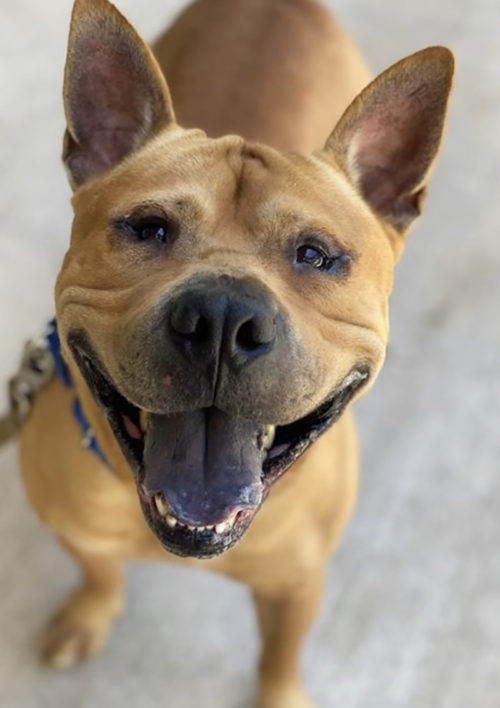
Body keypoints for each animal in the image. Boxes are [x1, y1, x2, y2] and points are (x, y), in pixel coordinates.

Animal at [13, 0, 456, 704]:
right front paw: (91, 613)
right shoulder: (74, 529)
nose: (222, 317)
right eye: (147, 229)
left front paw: (279, 695)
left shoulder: (297, 585)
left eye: (316, 256)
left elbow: (279, 657)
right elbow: (99, 573)